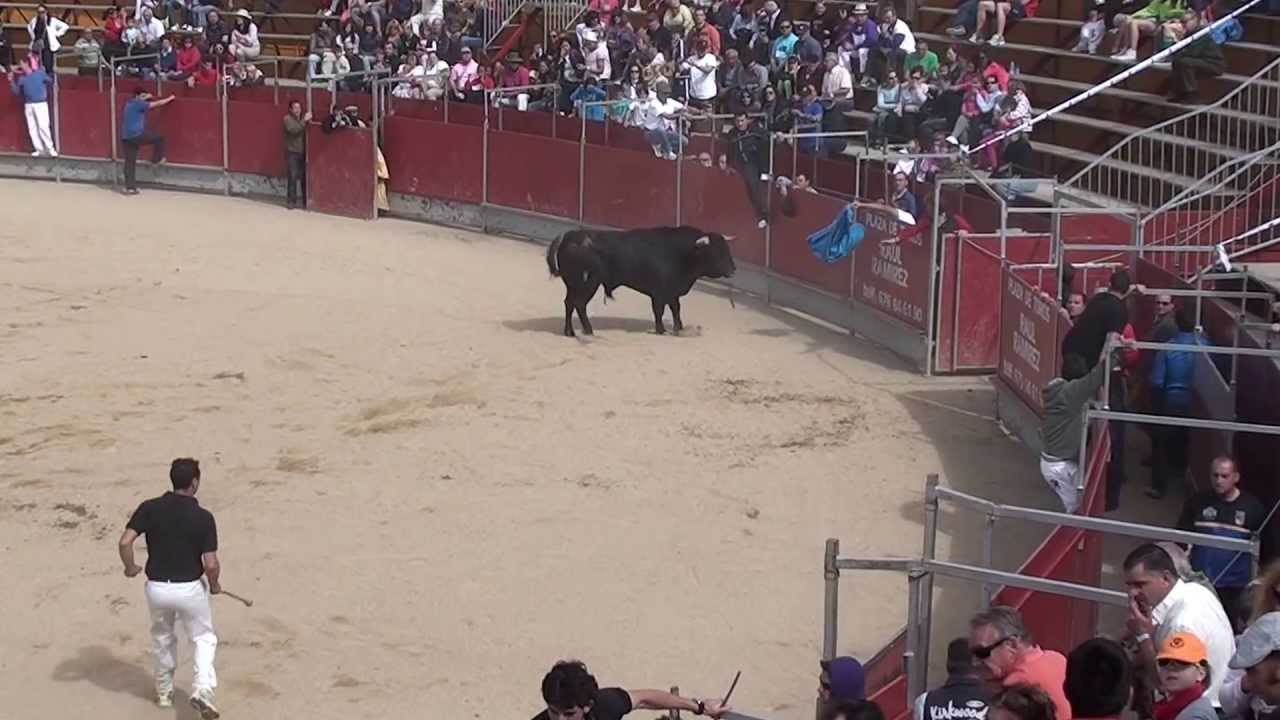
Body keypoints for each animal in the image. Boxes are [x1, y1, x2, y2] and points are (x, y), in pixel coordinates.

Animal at [542, 225, 742, 335]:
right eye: (715, 252)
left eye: (726, 249)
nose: (733, 270)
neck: (682, 253)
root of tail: (569, 236)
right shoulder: (659, 293)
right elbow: (659, 311)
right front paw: (661, 330)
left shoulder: (673, 292)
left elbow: (676, 309)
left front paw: (679, 328)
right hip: (586, 283)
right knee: (578, 304)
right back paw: (581, 331)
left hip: (574, 284)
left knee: (571, 303)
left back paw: (576, 331)